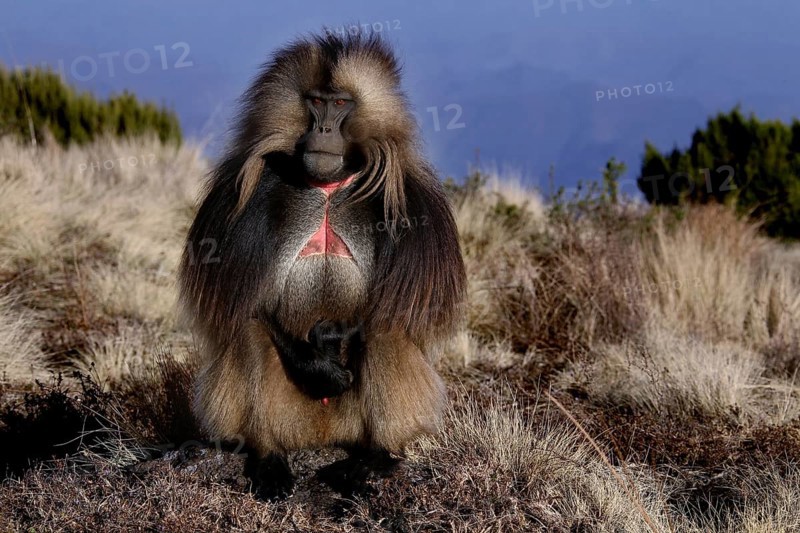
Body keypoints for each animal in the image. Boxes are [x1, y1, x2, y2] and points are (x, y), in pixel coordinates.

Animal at [179, 32, 466, 500]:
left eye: (341, 103)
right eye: (315, 101)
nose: (323, 130)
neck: (328, 188)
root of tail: (323, 434)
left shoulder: (415, 201)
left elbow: (394, 309)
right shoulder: (242, 194)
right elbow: (247, 304)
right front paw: (322, 369)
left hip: (354, 423)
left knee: (386, 328)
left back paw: (373, 460)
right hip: (290, 414)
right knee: (249, 331)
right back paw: (269, 457)